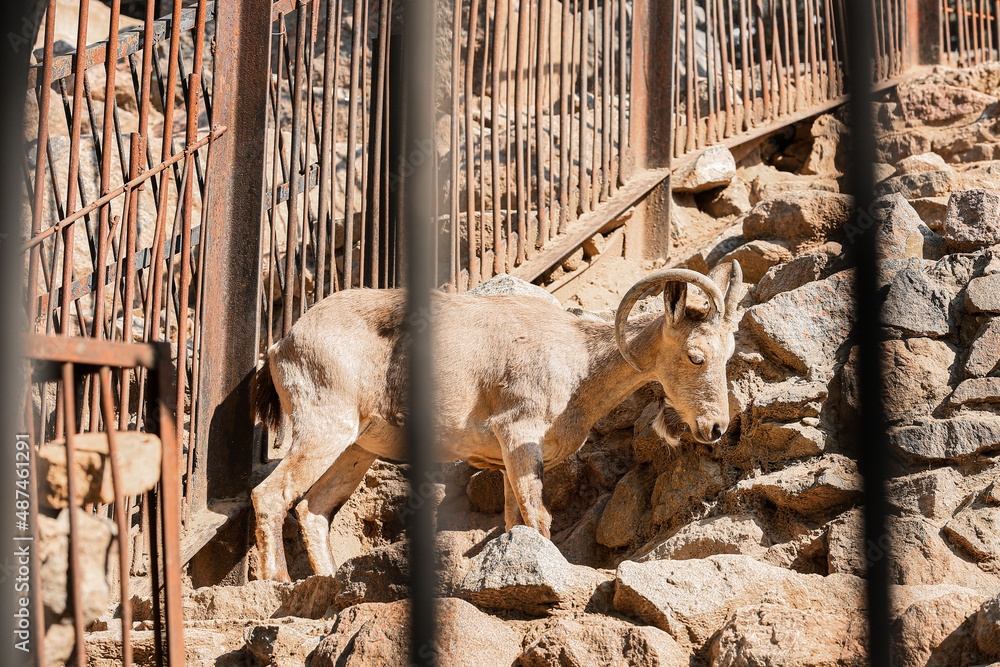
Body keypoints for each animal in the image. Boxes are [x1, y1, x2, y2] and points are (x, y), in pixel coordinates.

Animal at [248, 264, 744, 580]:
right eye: (695, 356)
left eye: (729, 353)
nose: (716, 428)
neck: (578, 363)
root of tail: (281, 346)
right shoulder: (519, 434)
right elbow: (539, 517)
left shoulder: (509, 462)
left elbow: (514, 522)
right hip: (324, 429)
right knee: (270, 496)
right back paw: (277, 583)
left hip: (357, 449)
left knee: (313, 510)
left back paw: (327, 582)